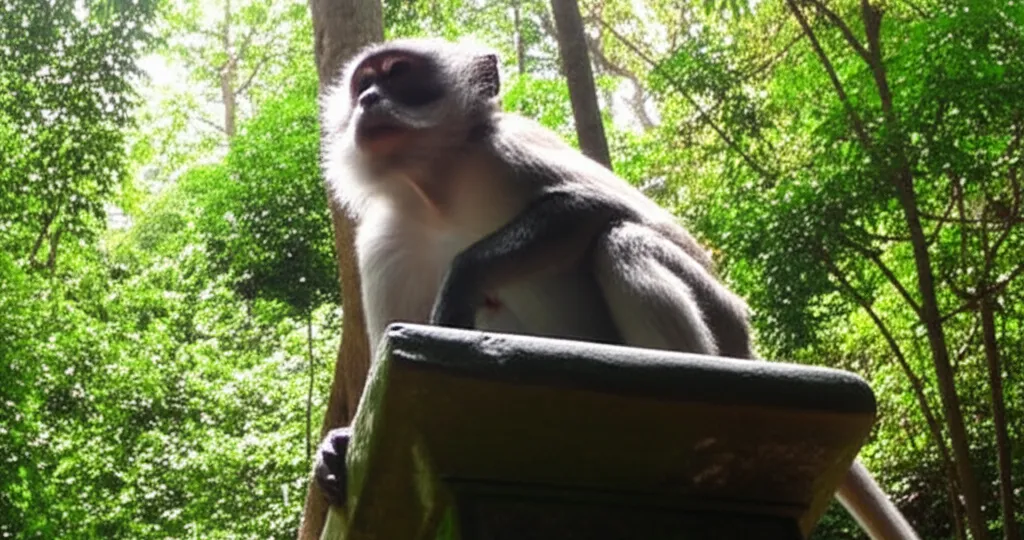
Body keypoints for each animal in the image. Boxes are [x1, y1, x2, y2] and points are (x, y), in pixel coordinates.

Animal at [313, 38, 919, 540]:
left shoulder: (502, 146)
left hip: (724, 317)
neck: (434, 189)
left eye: (398, 74)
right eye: (363, 82)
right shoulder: (384, 238)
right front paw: (339, 447)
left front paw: (460, 283)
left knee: (623, 241)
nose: (369, 100)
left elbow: (593, 206)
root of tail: (746, 348)